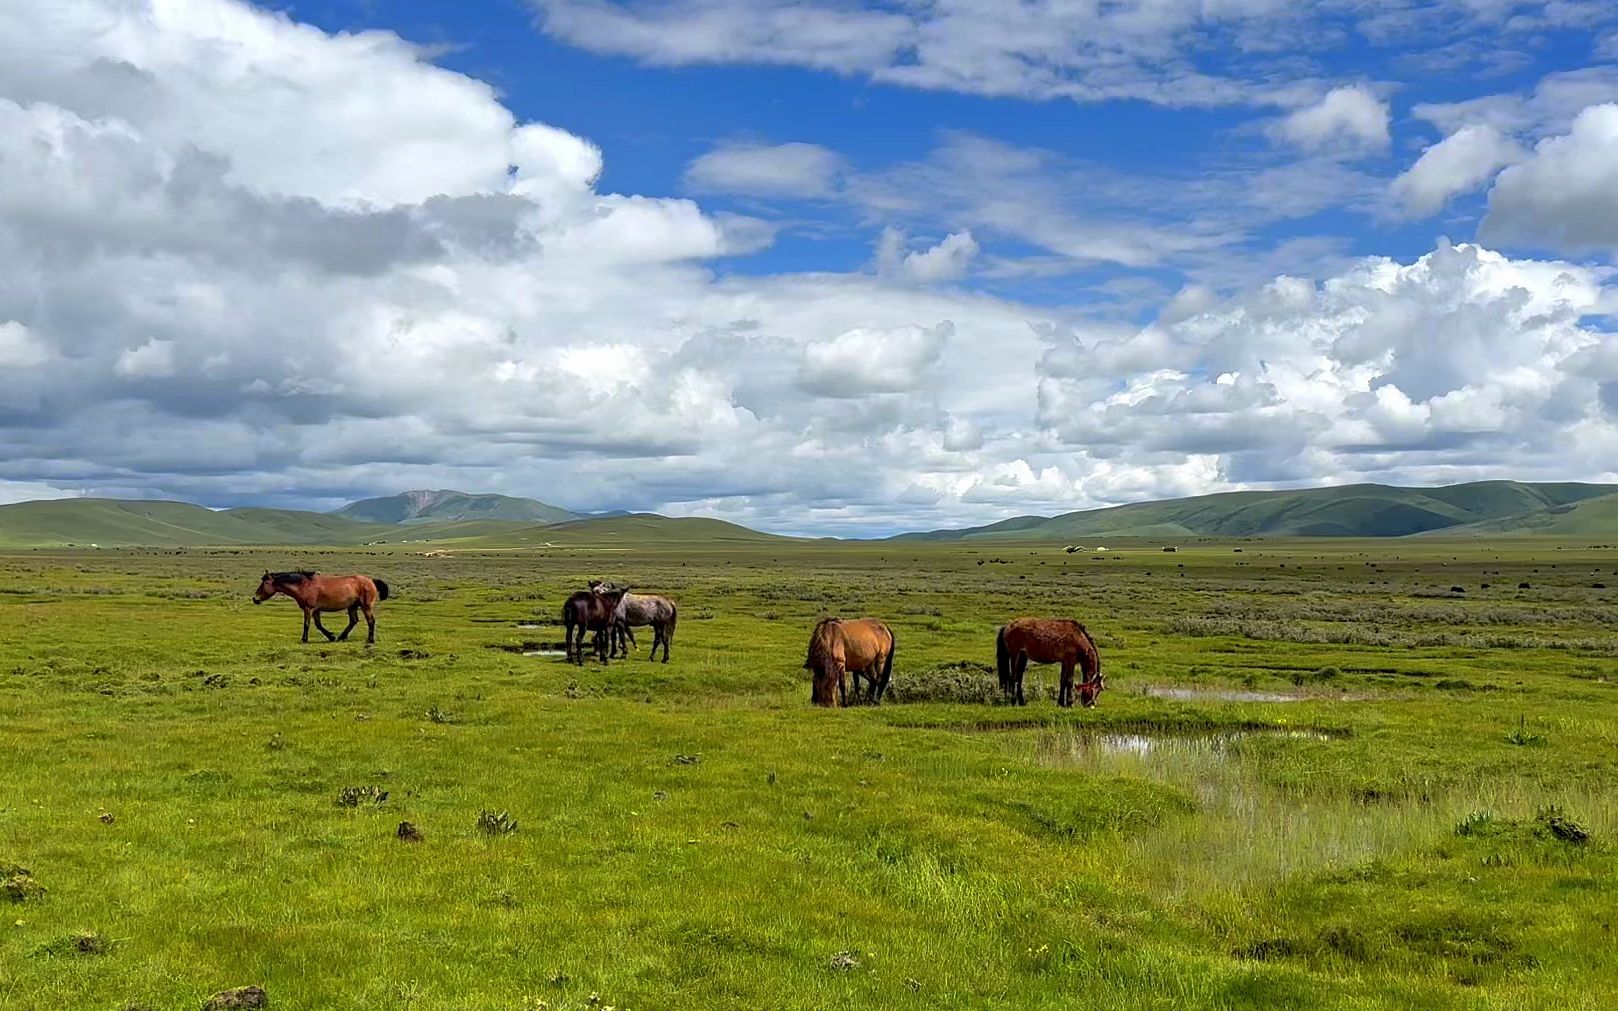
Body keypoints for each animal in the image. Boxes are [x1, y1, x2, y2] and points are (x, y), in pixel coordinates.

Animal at [252, 572, 391, 643]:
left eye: (264, 583)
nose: (255, 598)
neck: (303, 586)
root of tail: (371, 581)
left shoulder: (308, 609)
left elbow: (306, 624)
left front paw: (304, 639)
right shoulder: (316, 610)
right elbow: (318, 625)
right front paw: (331, 636)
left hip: (365, 606)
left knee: (371, 621)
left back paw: (370, 640)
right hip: (352, 606)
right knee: (353, 621)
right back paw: (341, 637)